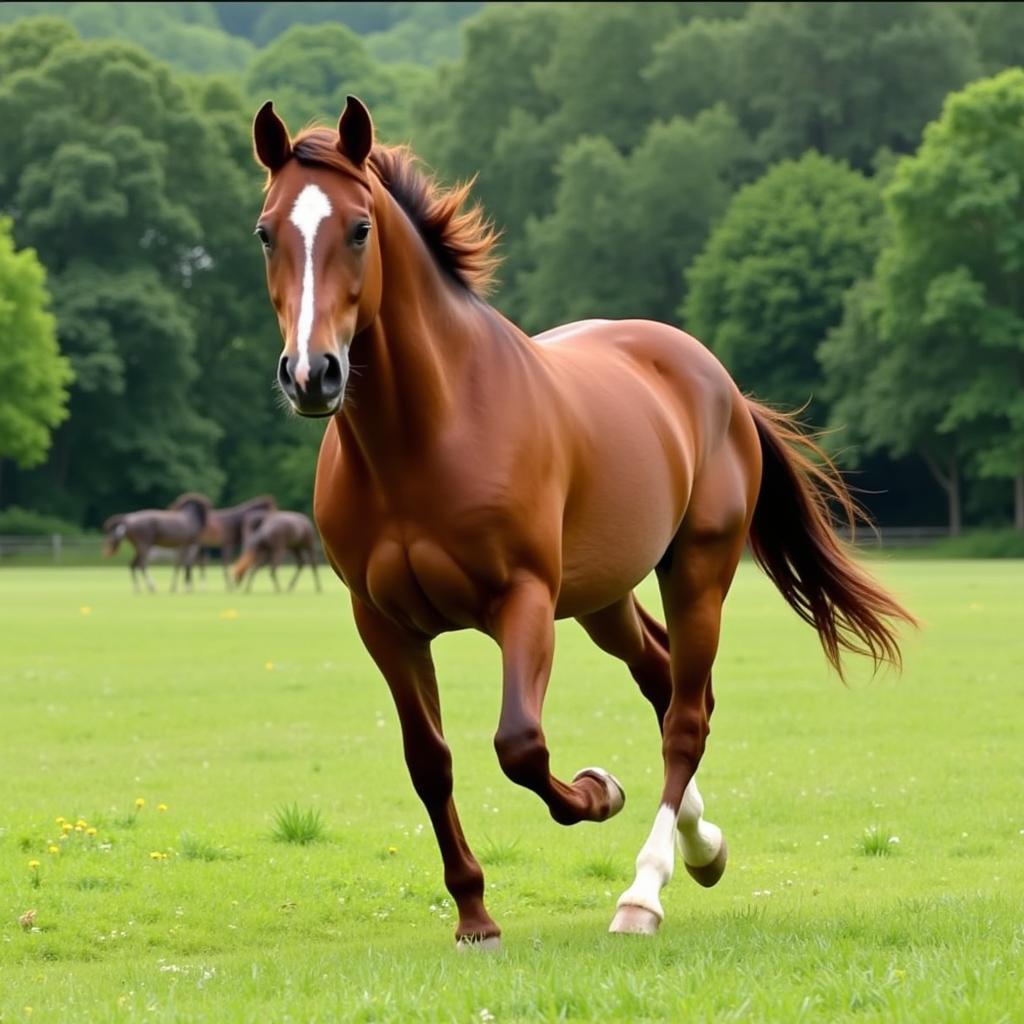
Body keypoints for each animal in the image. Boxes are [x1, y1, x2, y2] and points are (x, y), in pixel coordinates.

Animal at [249, 97, 921, 950]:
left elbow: (520, 746)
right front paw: (475, 916)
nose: (312, 375)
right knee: (661, 679)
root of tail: (716, 379)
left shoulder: (524, 601)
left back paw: (645, 892)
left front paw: (600, 791)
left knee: (686, 719)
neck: (427, 433)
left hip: (696, 573)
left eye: (361, 227)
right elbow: (429, 760)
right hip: (604, 600)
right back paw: (703, 846)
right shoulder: (385, 624)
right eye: (266, 231)